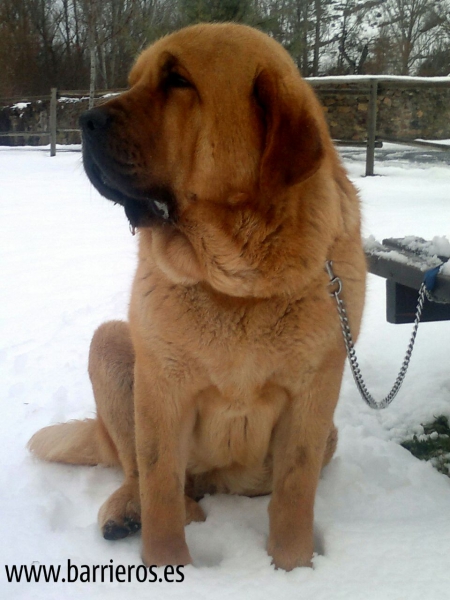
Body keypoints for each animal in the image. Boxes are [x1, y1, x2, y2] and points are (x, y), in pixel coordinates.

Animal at [27, 23, 366, 568]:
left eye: (178, 81)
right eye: (136, 81)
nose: (85, 118)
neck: (239, 278)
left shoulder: (313, 395)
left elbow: (295, 493)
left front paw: (293, 569)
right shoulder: (162, 390)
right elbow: (160, 488)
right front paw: (168, 565)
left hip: (322, 438)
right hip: (112, 344)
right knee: (140, 475)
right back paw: (126, 512)